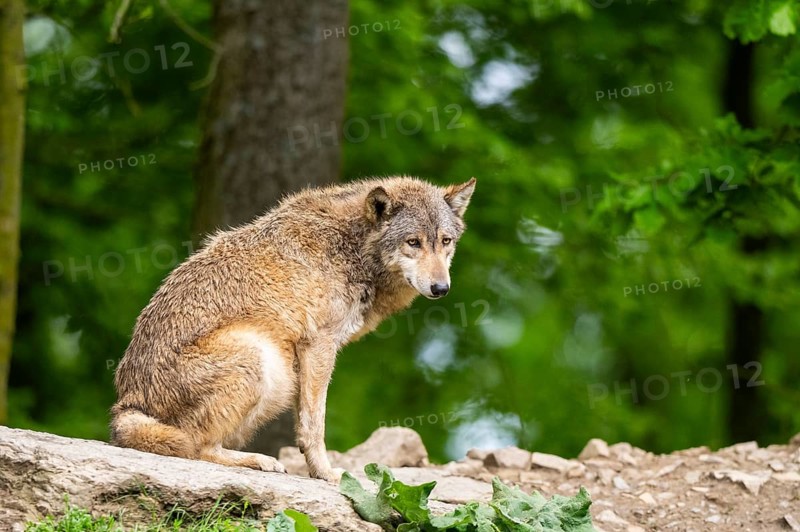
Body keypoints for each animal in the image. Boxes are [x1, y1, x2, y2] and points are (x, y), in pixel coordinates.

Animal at [110, 176, 475, 481]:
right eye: (413, 242)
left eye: (445, 241)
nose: (441, 288)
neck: (352, 247)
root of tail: (128, 402)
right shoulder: (319, 344)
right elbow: (315, 424)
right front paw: (327, 475)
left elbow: (305, 423)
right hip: (262, 357)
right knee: (196, 446)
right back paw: (259, 461)